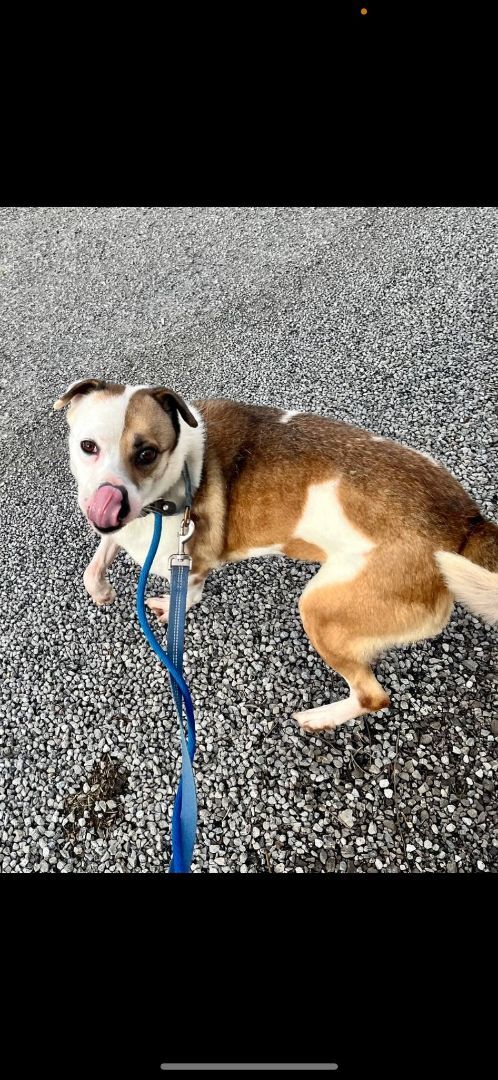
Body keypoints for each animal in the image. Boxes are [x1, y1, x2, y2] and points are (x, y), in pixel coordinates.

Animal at [54, 378, 496, 734]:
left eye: (146, 453)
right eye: (88, 447)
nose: (110, 503)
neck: (180, 471)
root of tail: (466, 522)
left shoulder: (188, 561)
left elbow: (189, 594)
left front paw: (170, 605)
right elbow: (98, 558)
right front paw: (101, 588)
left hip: (321, 606)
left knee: (373, 696)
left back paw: (320, 718)